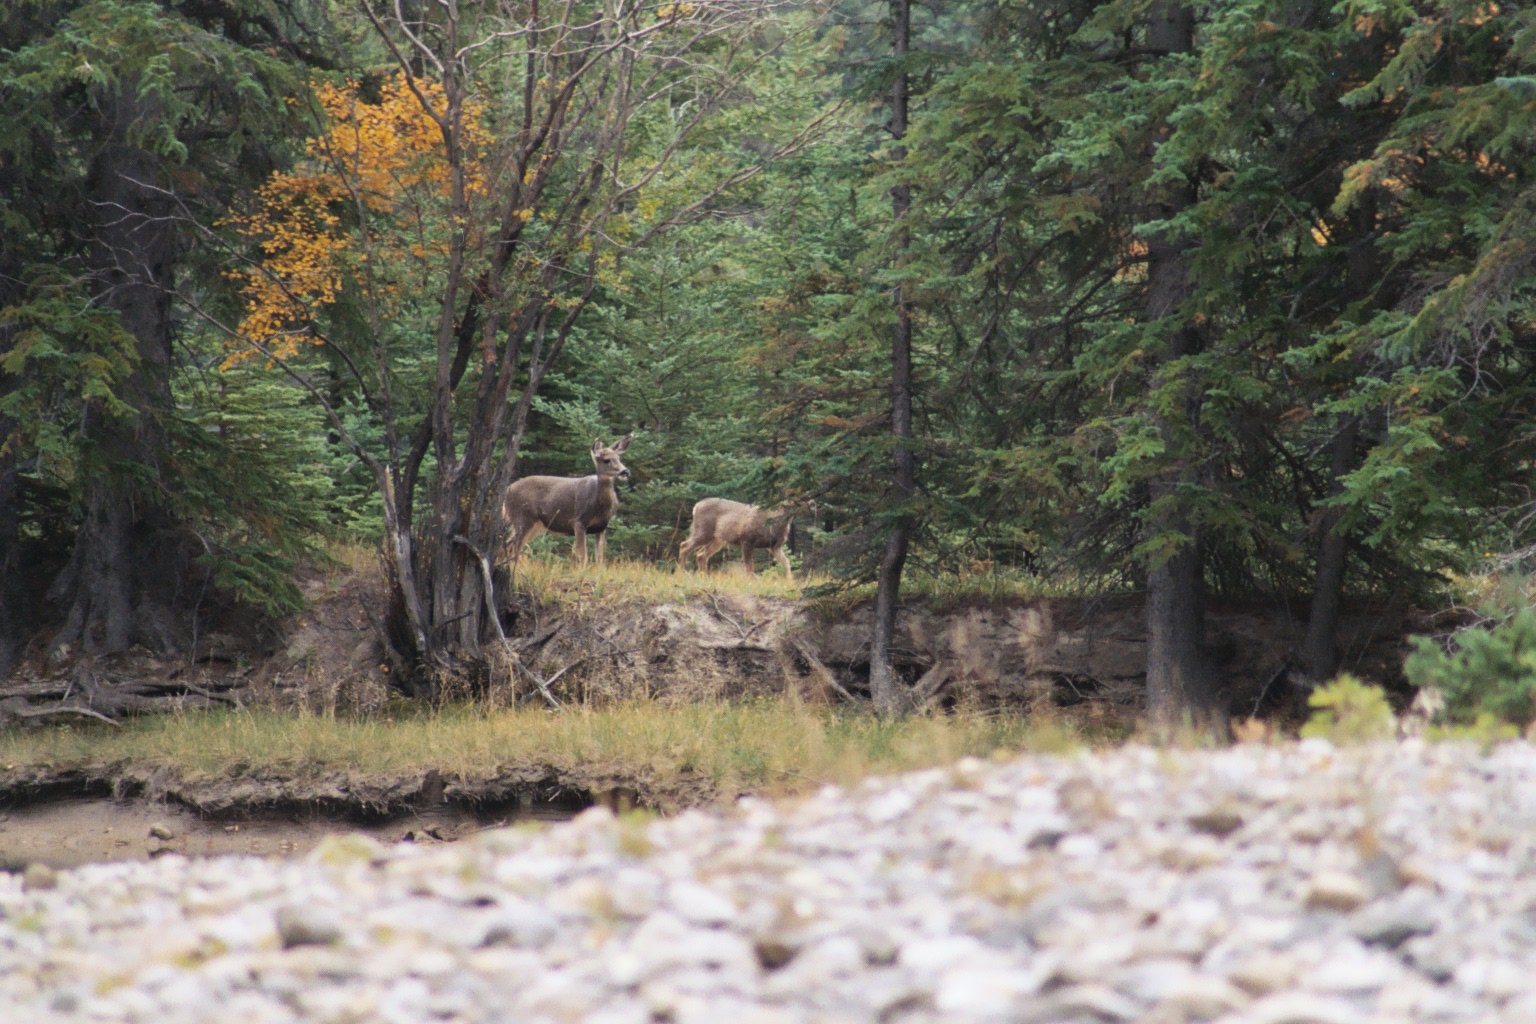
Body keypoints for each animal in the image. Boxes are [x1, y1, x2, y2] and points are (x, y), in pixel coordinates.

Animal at [502, 435, 632, 571]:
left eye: (619, 458)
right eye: (606, 460)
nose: (625, 472)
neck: (600, 506)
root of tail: (507, 490)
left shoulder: (602, 527)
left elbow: (600, 558)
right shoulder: (578, 521)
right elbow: (583, 555)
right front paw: (581, 572)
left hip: (535, 525)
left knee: (509, 545)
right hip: (522, 518)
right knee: (512, 546)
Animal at [677, 497, 815, 580]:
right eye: (800, 499)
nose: (813, 504)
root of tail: (695, 507)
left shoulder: (775, 546)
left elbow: (786, 563)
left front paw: (789, 581)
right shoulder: (747, 540)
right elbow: (750, 566)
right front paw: (750, 582)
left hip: (718, 540)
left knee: (700, 554)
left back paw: (704, 577)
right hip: (704, 531)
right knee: (684, 545)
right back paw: (681, 574)